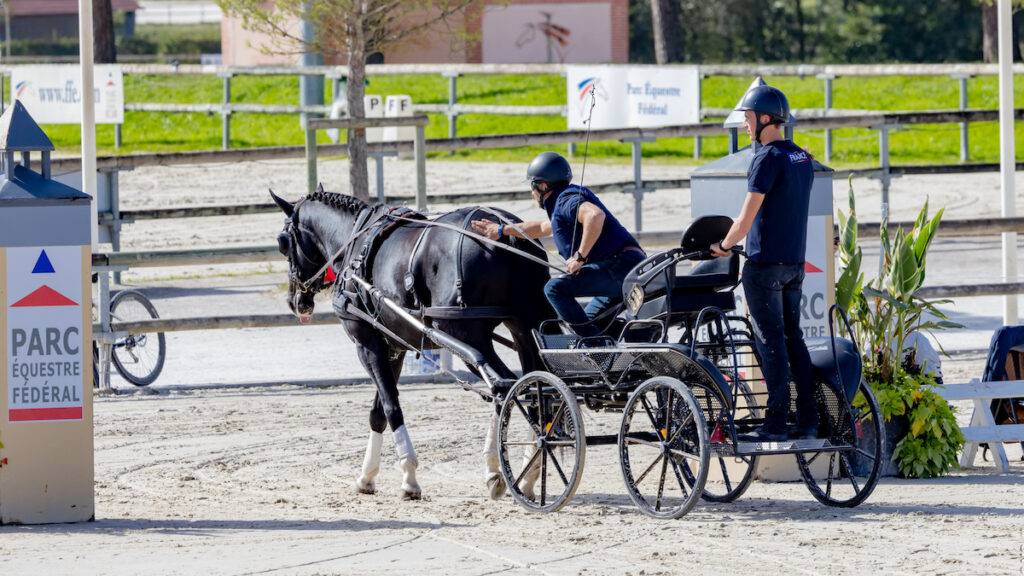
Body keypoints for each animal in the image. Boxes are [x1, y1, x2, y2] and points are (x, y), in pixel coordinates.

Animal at [268, 186, 548, 496]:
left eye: (283, 243)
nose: (296, 301)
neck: (356, 244)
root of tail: (506, 231)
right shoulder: (394, 348)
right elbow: (378, 412)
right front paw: (367, 476)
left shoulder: (367, 344)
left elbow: (391, 406)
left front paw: (409, 476)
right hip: (524, 326)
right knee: (536, 389)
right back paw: (530, 470)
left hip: (465, 335)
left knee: (505, 389)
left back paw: (496, 468)